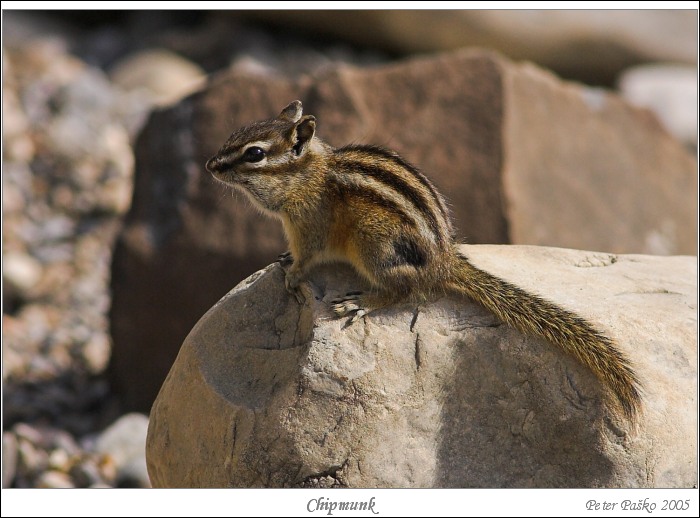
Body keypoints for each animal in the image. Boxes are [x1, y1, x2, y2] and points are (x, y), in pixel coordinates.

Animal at [206, 100, 641, 422]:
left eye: (255, 154)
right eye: (235, 134)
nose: (210, 166)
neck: (306, 174)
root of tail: (444, 262)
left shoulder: (309, 224)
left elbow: (308, 256)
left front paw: (293, 274)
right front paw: (283, 260)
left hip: (373, 245)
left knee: (405, 289)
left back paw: (362, 302)